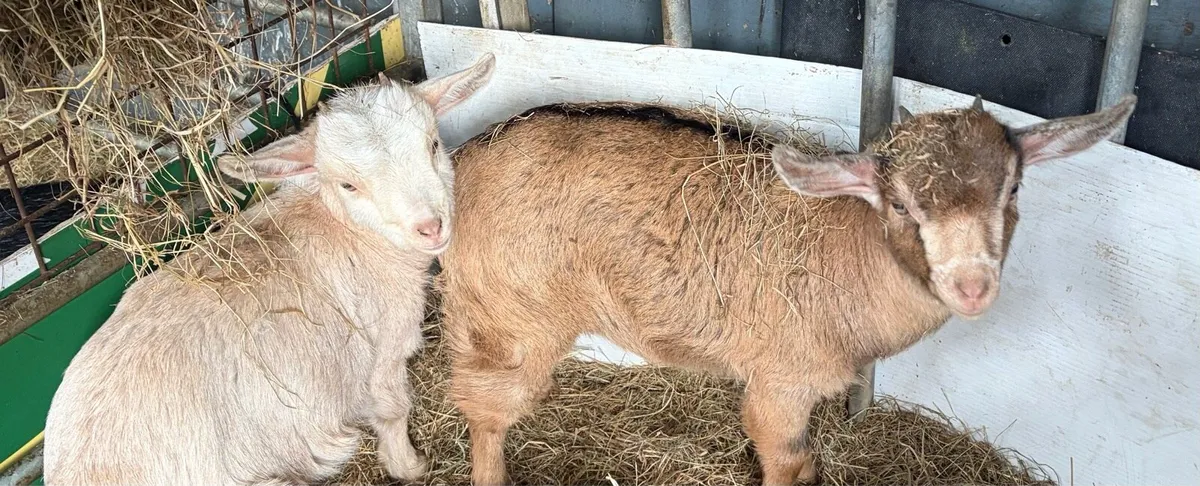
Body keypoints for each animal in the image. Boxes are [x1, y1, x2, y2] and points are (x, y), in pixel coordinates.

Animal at [42, 53, 495, 486]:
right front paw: (410, 466)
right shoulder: (384, 349)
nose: (431, 226)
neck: (346, 231)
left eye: (432, 144)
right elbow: (393, 411)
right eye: (348, 185)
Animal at [438, 96, 1136, 485]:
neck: (850, 253)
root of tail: (460, 159)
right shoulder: (780, 381)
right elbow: (784, 461)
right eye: (902, 205)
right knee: (484, 407)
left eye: (1012, 189)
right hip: (509, 316)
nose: (971, 286)